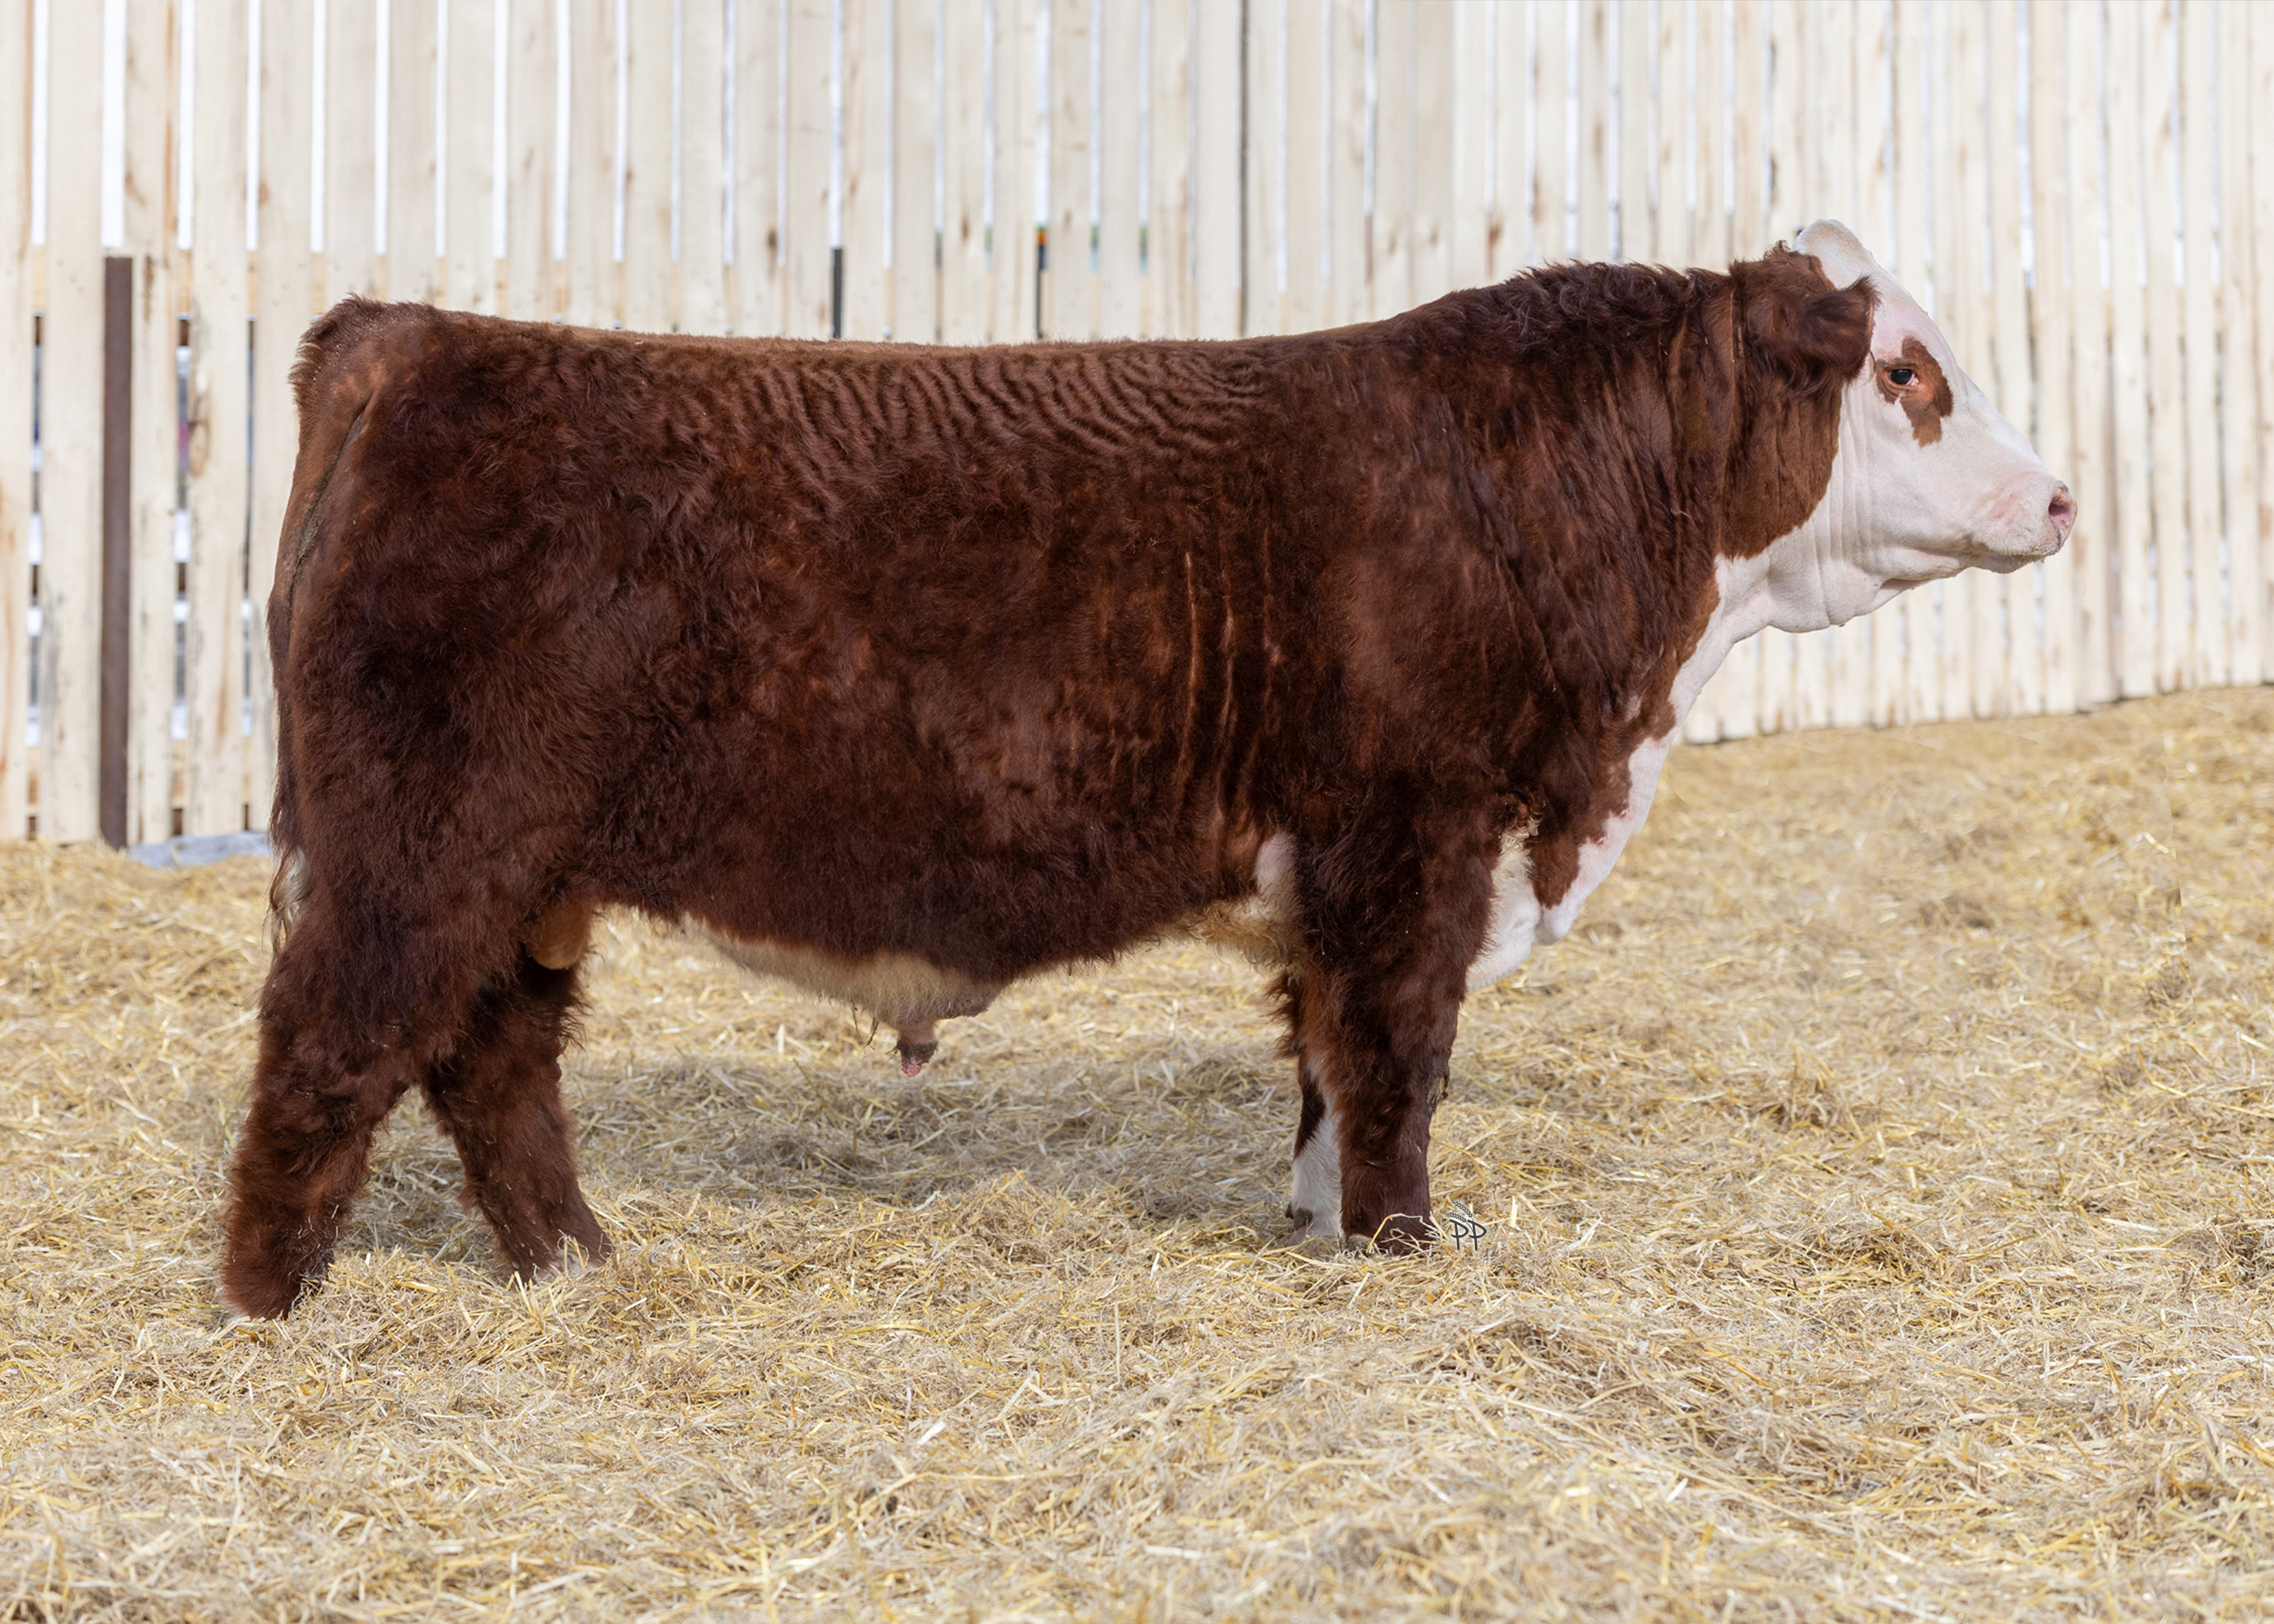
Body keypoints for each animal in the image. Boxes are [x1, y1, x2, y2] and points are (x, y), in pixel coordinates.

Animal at [219, 220, 2072, 1318]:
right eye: (1906, 372)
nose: (2057, 495)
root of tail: (408, 337)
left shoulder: (1354, 871)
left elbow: (1325, 1058)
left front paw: (1323, 1229)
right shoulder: (1412, 839)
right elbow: (1398, 1060)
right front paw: (1403, 1253)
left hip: (517, 874)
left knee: (493, 1063)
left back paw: (580, 1268)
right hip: (418, 850)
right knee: (331, 1047)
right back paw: (264, 1305)